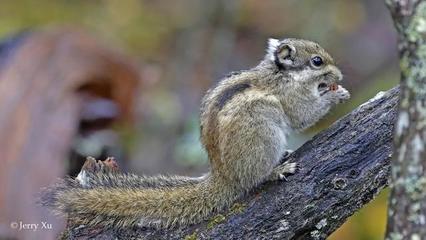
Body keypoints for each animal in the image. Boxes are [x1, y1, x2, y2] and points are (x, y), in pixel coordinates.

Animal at [40, 38, 350, 230]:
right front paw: (335, 95)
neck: (280, 74)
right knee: (254, 178)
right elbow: (303, 115)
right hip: (263, 136)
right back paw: (277, 170)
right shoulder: (290, 98)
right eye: (317, 61)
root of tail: (224, 176)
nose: (340, 77)